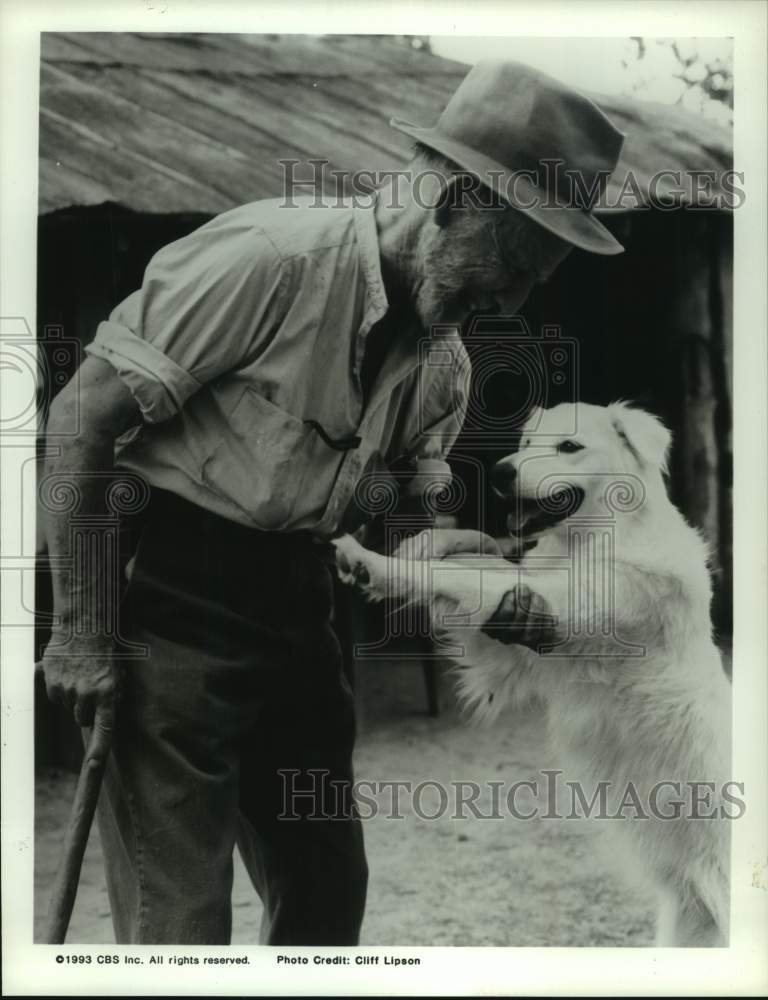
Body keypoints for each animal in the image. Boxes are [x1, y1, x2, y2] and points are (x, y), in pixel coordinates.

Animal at [336, 402, 732, 948]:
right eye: (526, 444)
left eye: (569, 447)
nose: (502, 471)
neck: (599, 539)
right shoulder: (505, 643)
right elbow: (472, 554)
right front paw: (424, 542)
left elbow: (456, 574)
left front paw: (369, 562)